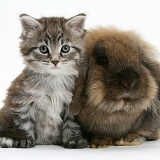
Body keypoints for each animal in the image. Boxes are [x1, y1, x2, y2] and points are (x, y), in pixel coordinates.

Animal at [0, 13, 88, 148]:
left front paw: (73, 139)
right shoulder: (22, 100)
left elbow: (71, 123)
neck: (54, 79)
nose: (55, 61)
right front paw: (25, 138)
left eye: (65, 48)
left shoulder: (73, 102)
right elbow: (24, 122)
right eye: (43, 49)